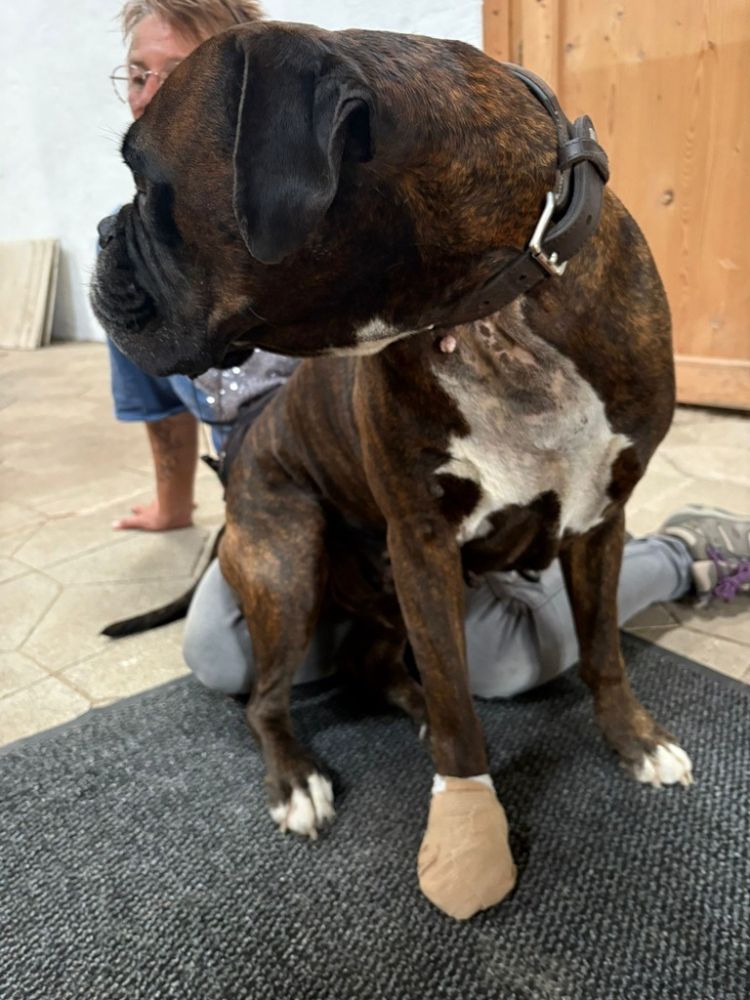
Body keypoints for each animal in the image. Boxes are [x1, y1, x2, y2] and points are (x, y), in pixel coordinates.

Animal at [92, 21, 691, 897]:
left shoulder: (598, 520)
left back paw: (407, 707)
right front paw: (471, 831)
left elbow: (604, 651)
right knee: (265, 700)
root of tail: (235, 496)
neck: (492, 310)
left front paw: (635, 742)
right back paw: (298, 782)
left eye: (143, 178)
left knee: (374, 665)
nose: (103, 232)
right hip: (289, 560)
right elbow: (457, 702)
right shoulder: (423, 545)